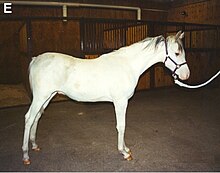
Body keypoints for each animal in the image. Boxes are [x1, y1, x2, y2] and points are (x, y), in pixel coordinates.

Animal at [22, 30, 191, 164]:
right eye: (177, 53)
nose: (186, 75)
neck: (127, 65)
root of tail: (36, 59)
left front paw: (126, 148)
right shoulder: (120, 102)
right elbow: (121, 126)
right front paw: (124, 152)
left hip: (47, 97)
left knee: (36, 118)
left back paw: (34, 145)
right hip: (40, 97)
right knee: (29, 118)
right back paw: (25, 155)